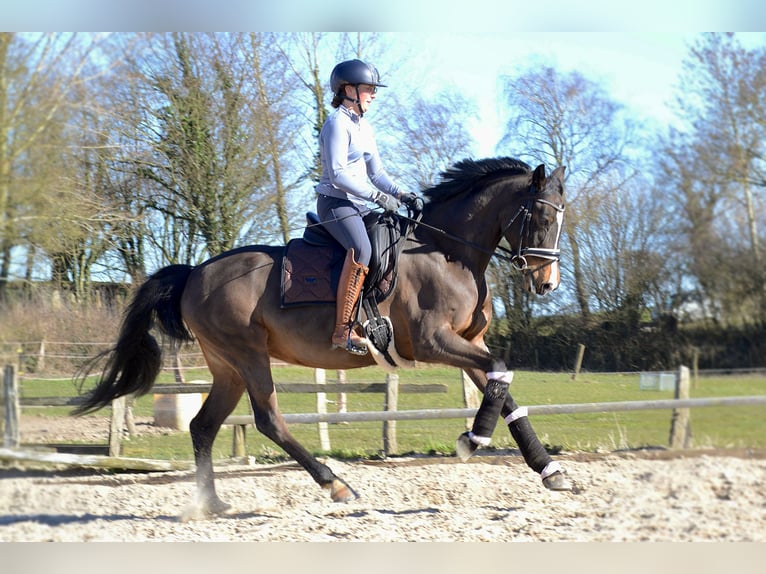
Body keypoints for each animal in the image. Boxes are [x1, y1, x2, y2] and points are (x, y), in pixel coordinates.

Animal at [74, 156, 569, 519]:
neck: (448, 253)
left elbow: (503, 389)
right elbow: (500, 376)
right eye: (541, 215)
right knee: (268, 420)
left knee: (203, 425)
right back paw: (335, 485)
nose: (547, 284)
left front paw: (549, 470)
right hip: (248, 355)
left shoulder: (471, 343)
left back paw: (212, 503)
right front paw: (472, 440)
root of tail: (194, 273)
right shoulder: (434, 342)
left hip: (227, 367)